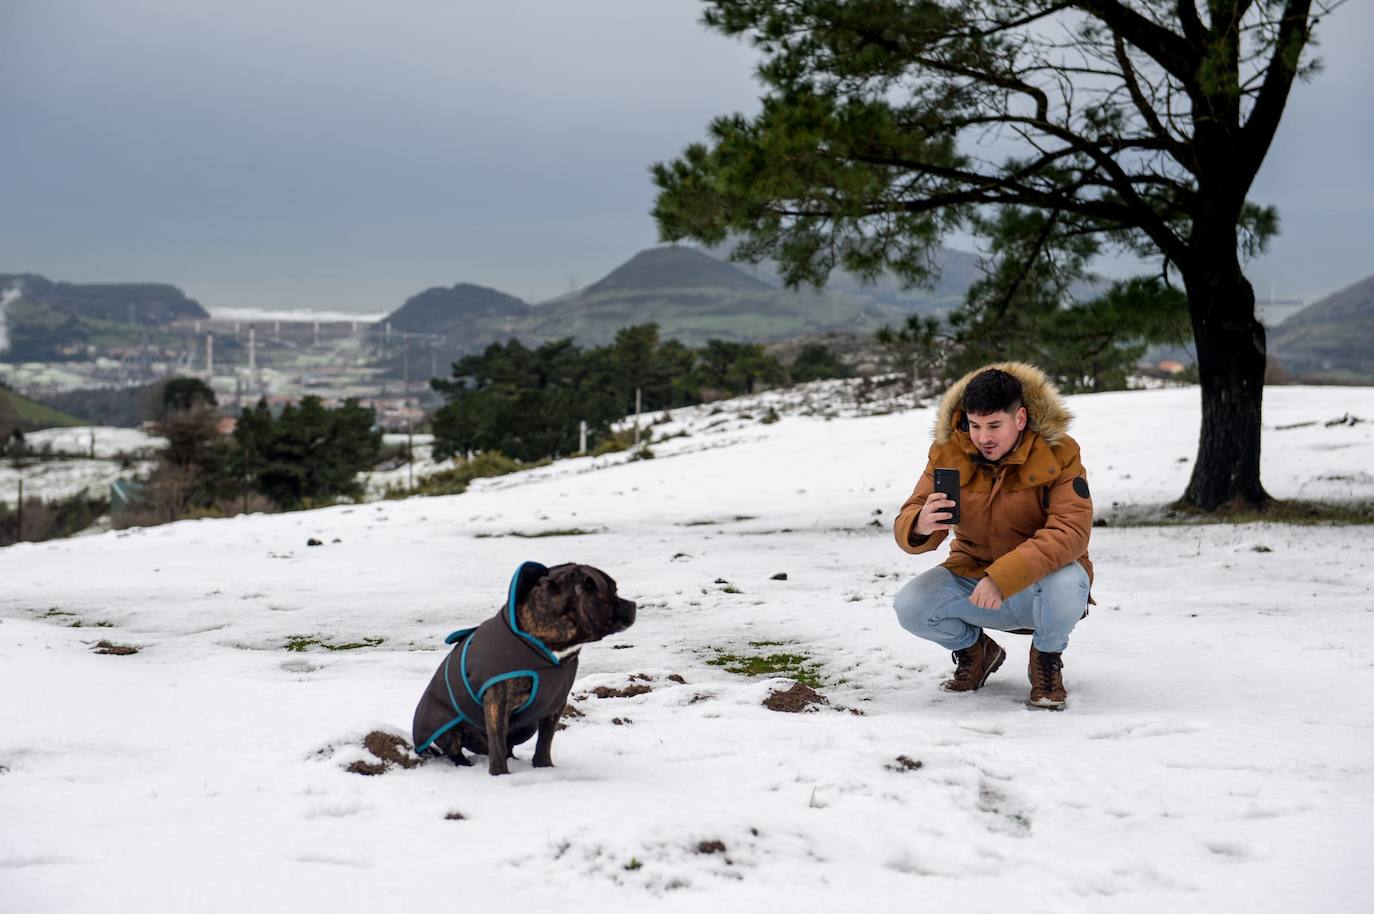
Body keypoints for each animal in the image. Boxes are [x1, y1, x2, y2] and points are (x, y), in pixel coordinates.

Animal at [409, 560, 634, 775]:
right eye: (611, 592)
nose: (632, 604)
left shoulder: (554, 703)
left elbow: (545, 740)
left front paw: (543, 766)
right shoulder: (497, 703)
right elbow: (498, 744)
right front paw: (500, 775)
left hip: (526, 727)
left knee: (508, 746)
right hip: (448, 730)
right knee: (459, 750)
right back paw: (465, 764)